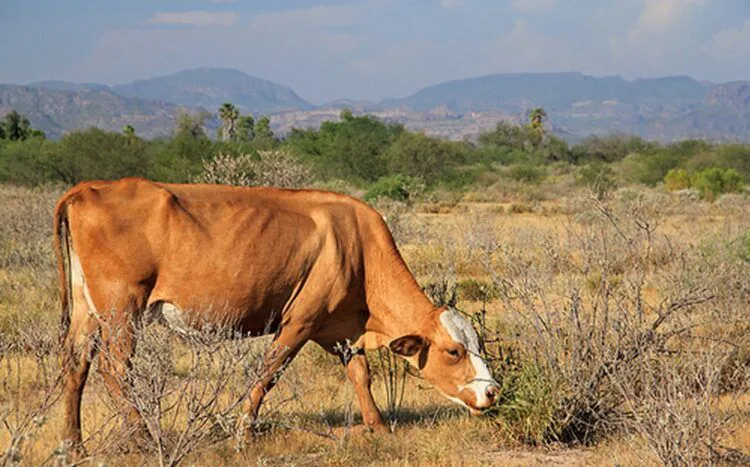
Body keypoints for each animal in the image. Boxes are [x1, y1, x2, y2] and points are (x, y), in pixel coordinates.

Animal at [54, 177, 500, 450]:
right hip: (121, 309)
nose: (492, 391)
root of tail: (88, 188)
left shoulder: (339, 329)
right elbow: (268, 373)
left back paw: (72, 444)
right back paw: (144, 437)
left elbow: (361, 374)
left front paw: (375, 425)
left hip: (87, 310)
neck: (358, 245)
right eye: (454, 351)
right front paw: (243, 431)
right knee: (115, 369)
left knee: (76, 364)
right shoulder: (299, 322)